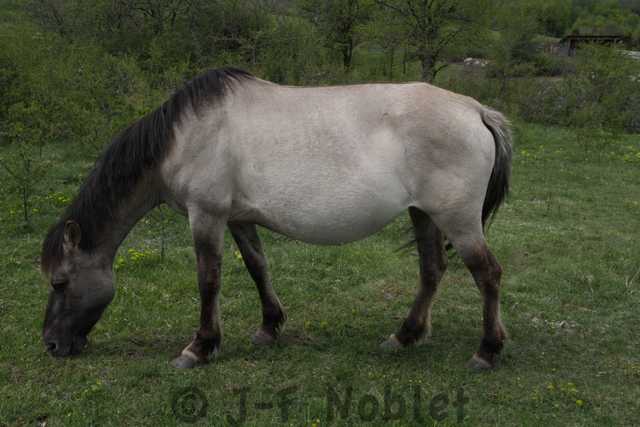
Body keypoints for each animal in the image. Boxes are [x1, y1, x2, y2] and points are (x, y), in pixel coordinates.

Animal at [41, 67, 512, 370]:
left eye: (60, 282)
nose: (52, 344)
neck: (184, 135)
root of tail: (476, 110)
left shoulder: (205, 215)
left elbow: (208, 280)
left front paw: (199, 347)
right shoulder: (237, 218)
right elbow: (257, 267)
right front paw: (269, 327)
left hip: (458, 220)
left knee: (487, 274)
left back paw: (486, 351)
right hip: (423, 214)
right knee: (432, 271)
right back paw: (405, 336)